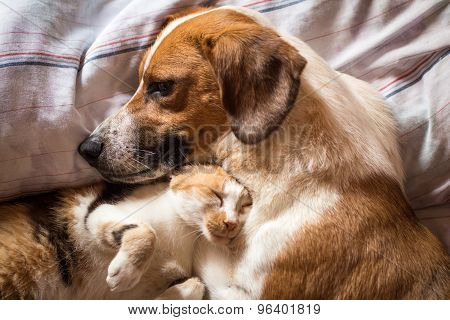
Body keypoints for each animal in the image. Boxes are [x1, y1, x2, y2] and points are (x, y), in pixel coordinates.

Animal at [0, 166, 250, 298]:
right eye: (216, 195)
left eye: (243, 207)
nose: (231, 223)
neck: (186, 233)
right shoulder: (99, 211)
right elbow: (147, 231)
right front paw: (126, 272)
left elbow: (196, 284)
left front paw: (187, 287)